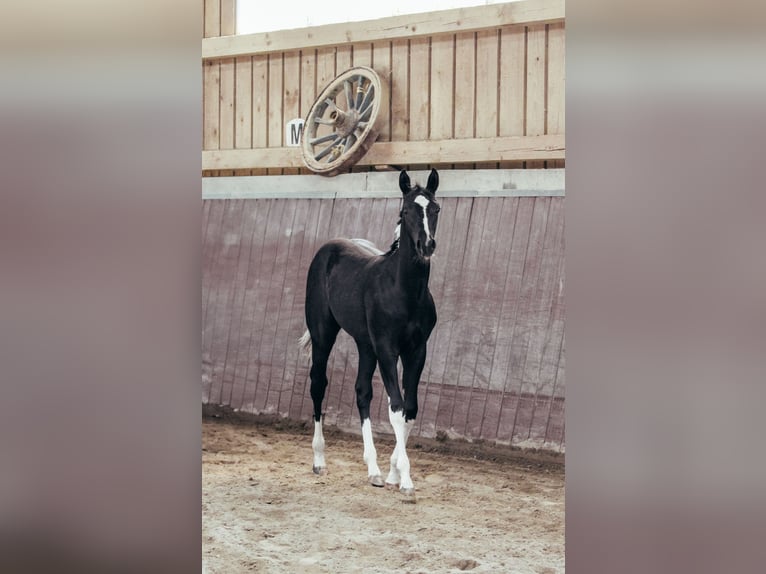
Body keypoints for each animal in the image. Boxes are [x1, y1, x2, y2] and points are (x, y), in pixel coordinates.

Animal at [299, 168, 440, 501]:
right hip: (324, 335)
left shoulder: (417, 350)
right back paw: (319, 460)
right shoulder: (387, 348)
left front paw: (392, 474)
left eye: (436, 209)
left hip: (365, 345)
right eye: (406, 210)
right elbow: (396, 407)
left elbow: (410, 409)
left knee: (362, 391)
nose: (426, 246)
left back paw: (373, 470)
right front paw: (406, 481)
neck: (403, 290)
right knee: (318, 384)